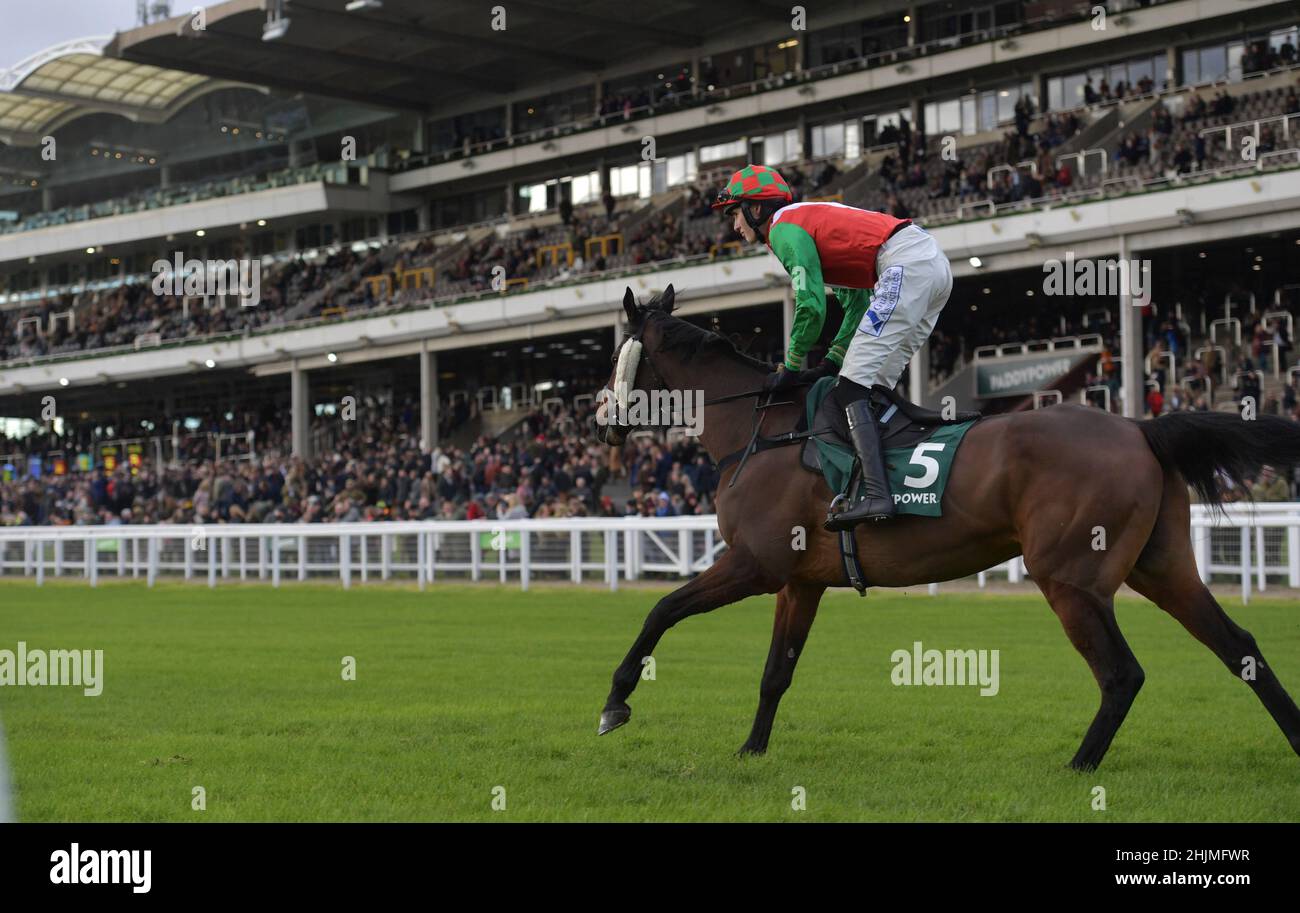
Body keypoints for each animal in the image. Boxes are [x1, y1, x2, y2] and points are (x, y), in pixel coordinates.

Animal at [595, 286, 1300, 769]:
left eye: (616, 356)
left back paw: (1078, 766)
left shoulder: (753, 564)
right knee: (1239, 646)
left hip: (1070, 578)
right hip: (1163, 566)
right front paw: (751, 749)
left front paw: (616, 701)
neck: (764, 431)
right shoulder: (799, 581)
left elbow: (661, 610)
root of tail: (1139, 428)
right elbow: (775, 672)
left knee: (1122, 674)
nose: (600, 420)